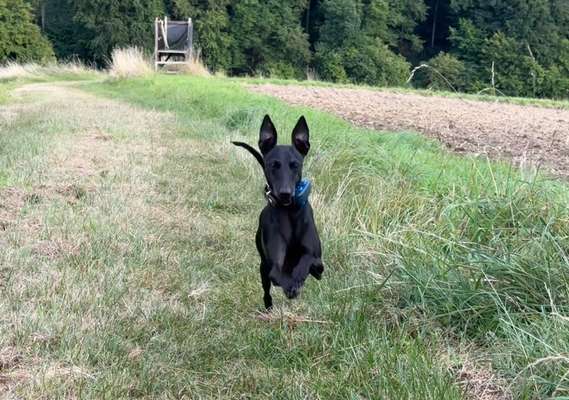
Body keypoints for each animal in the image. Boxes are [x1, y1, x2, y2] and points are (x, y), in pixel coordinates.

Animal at [233, 115, 324, 310]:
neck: (290, 212)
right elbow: (278, 273)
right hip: (262, 269)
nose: (285, 194)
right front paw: (291, 285)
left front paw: (298, 278)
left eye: (295, 165)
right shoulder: (274, 266)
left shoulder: (318, 261)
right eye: (272, 165)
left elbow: (309, 261)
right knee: (266, 289)